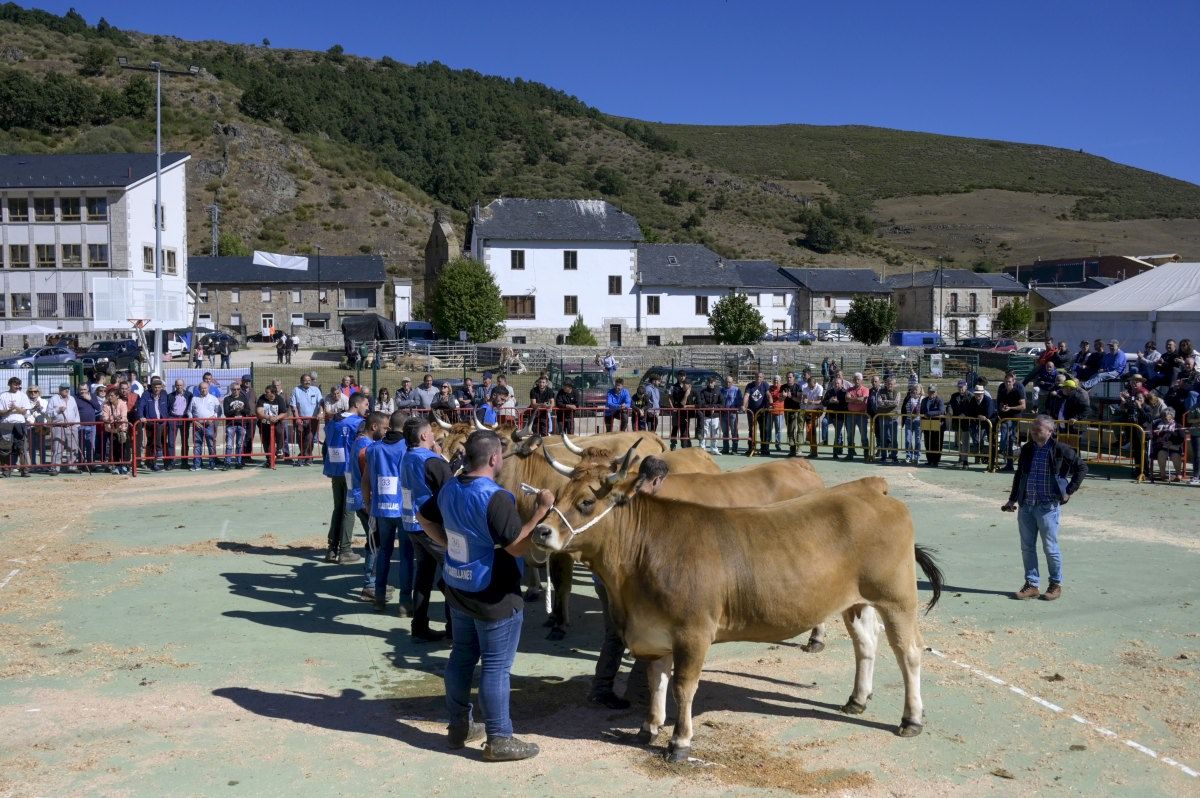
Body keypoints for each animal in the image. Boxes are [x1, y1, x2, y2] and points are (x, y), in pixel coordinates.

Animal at [532, 451, 936, 763]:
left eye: (586, 502)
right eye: (558, 495)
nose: (541, 531)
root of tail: (869, 487)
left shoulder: (693, 632)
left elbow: (683, 686)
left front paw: (679, 741)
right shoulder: (653, 630)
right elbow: (656, 678)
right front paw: (649, 726)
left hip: (897, 597)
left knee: (909, 651)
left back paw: (911, 719)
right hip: (855, 600)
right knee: (866, 642)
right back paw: (857, 700)